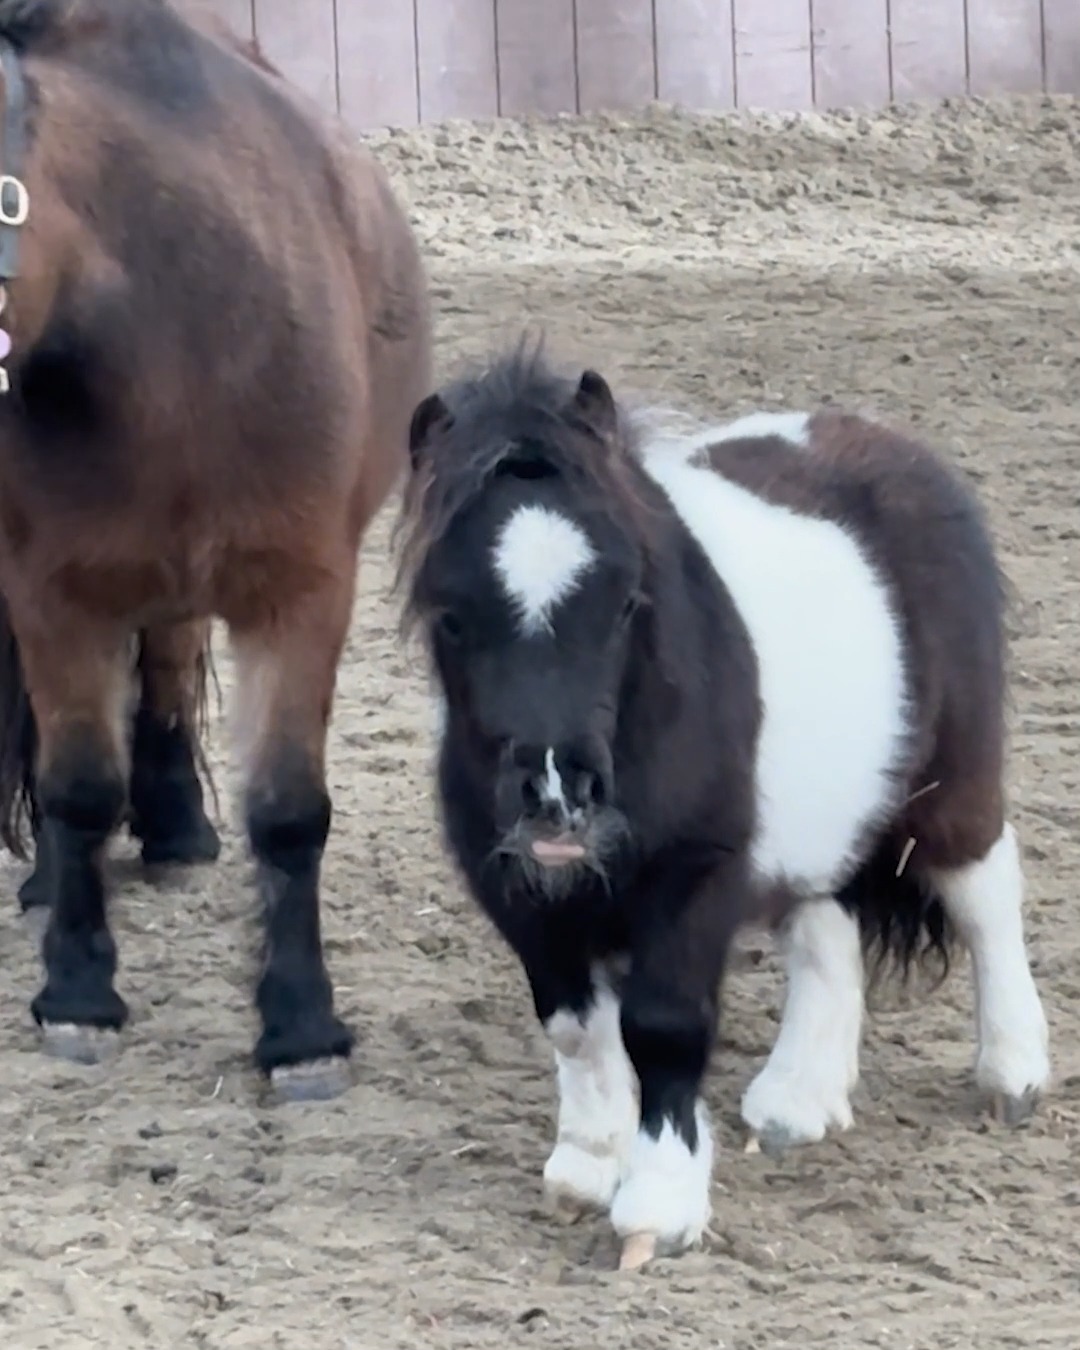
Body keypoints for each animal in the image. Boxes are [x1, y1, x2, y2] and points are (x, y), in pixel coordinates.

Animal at [0, 0, 432, 1100]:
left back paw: (176, 826)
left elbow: (287, 810)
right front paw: (78, 993)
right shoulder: (50, 593)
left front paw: (302, 1027)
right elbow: (75, 787)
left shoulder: (301, 594)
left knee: (166, 661)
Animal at [394, 340, 1050, 1268]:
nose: (559, 793)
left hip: (951, 786)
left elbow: (663, 1029)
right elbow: (575, 1026)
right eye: (451, 615)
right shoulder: (523, 894)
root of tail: (900, 453)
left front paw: (658, 1208)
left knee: (986, 889)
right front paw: (589, 1164)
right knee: (826, 925)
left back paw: (1012, 1070)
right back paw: (798, 1101)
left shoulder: (695, 875)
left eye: (627, 600)